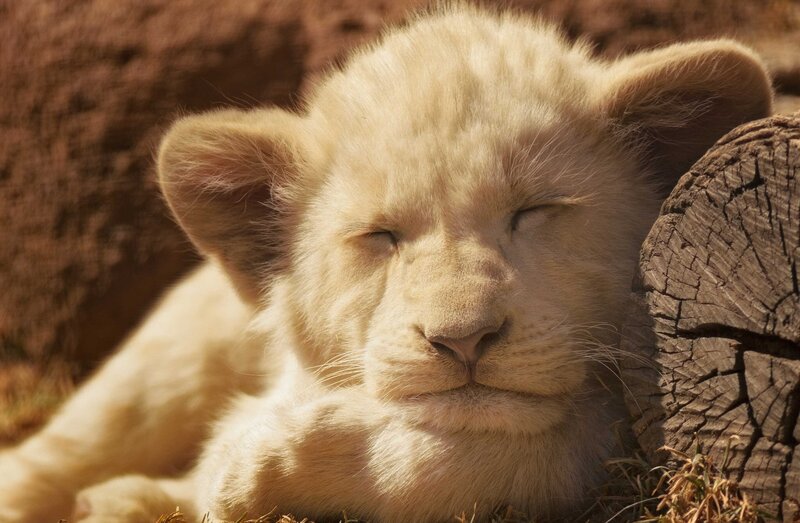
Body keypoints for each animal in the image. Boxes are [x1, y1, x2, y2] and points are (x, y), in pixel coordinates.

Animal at [0, 5, 772, 522]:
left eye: (535, 210)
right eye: (380, 235)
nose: (462, 339)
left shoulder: (615, 428)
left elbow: (526, 448)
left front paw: (258, 463)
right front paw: (240, 464)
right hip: (169, 363)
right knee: (53, 455)